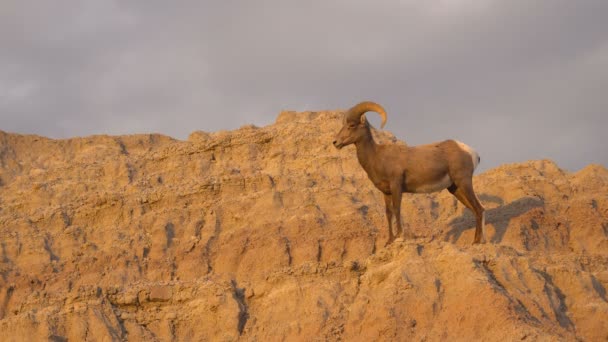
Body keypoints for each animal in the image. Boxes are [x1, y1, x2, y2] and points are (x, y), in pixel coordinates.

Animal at [332, 100, 484, 244]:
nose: (335, 142)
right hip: (454, 188)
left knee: (479, 208)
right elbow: (388, 213)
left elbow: (397, 209)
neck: (377, 157)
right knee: (475, 209)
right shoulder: (386, 192)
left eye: (352, 125)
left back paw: (476, 242)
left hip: (464, 182)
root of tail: (471, 152)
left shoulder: (396, 186)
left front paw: (399, 236)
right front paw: (389, 241)